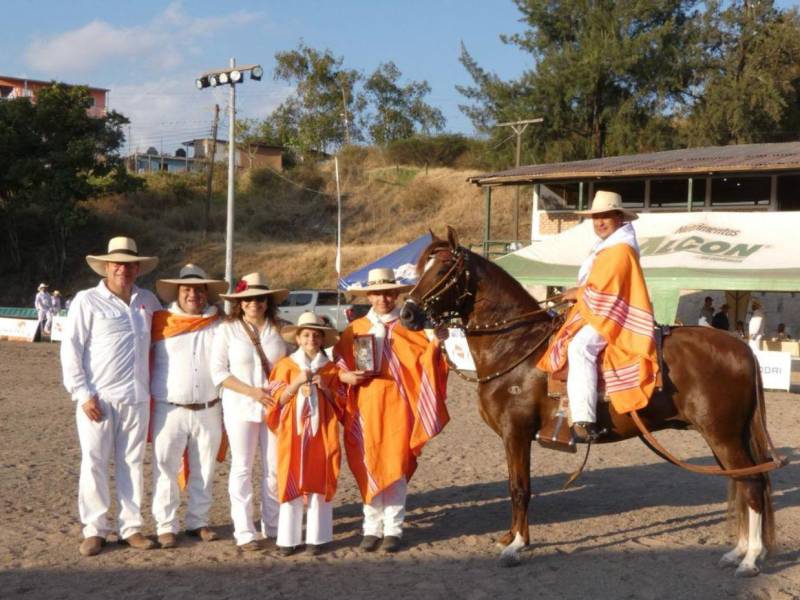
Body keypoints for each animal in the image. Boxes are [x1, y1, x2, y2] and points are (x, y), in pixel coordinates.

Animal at [400, 227, 780, 576]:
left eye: (442, 269)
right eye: (422, 267)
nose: (407, 314)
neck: (517, 347)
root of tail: (742, 347)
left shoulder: (516, 432)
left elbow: (520, 488)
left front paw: (517, 545)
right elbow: (516, 486)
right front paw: (511, 537)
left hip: (723, 435)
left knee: (752, 484)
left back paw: (749, 559)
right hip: (723, 437)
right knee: (742, 481)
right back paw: (739, 551)